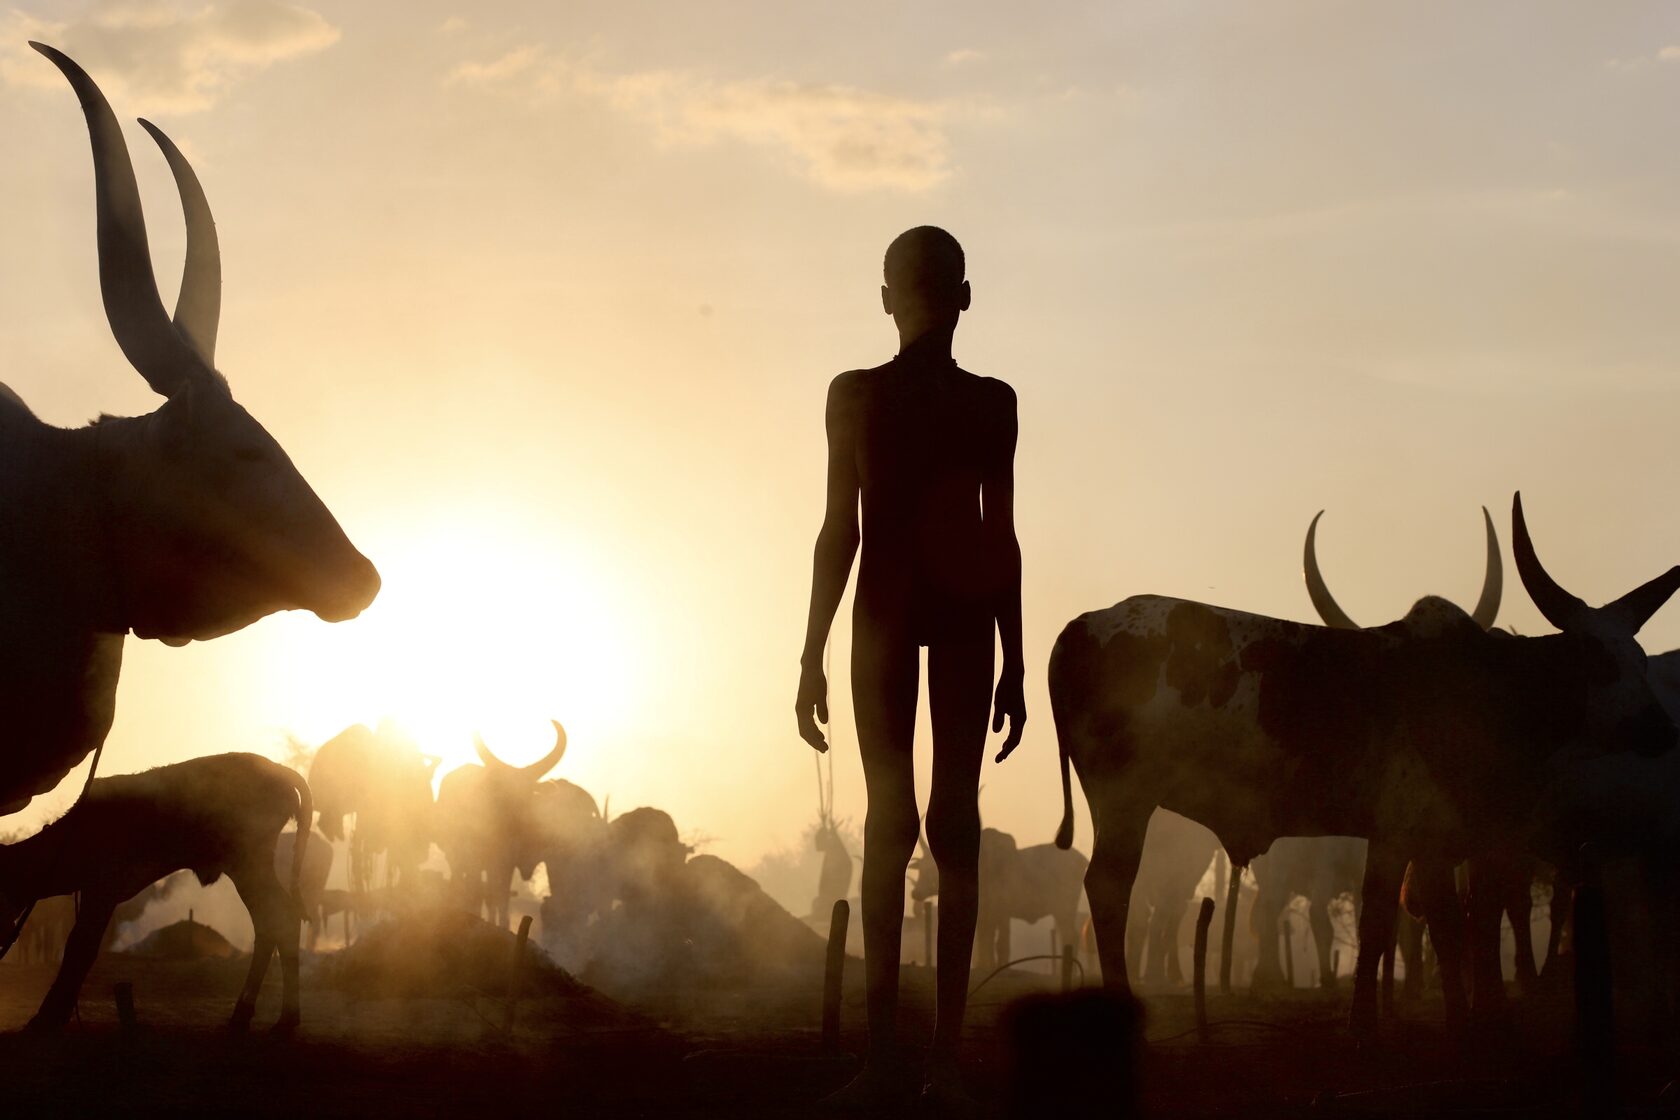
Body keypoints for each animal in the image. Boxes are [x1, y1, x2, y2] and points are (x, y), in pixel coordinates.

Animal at [0, 752, 314, 1034]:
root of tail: (279, 770)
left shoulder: (103, 889)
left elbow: (80, 946)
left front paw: (47, 1017)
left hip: (248, 862)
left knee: (279, 918)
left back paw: (272, 1017)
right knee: (273, 922)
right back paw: (262, 1016)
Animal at [433, 728, 564, 926]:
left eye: (527, 791)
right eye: (503, 788)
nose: (517, 816)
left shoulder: (505, 863)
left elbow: (500, 896)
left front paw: (502, 925)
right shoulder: (474, 857)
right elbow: (476, 892)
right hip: (457, 857)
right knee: (462, 884)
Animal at [1048, 493, 1680, 1041]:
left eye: (1639, 656)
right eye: (1594, 658)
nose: (1660, 727)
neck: (1482, 686)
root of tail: (1082, 625)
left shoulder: (1423, 840)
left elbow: (1428, 924)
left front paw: (1425, 1022)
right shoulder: (1410, 831)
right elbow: (1405, 924)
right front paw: (1387, 1027)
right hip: (1125, 800)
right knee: (1110, 891)